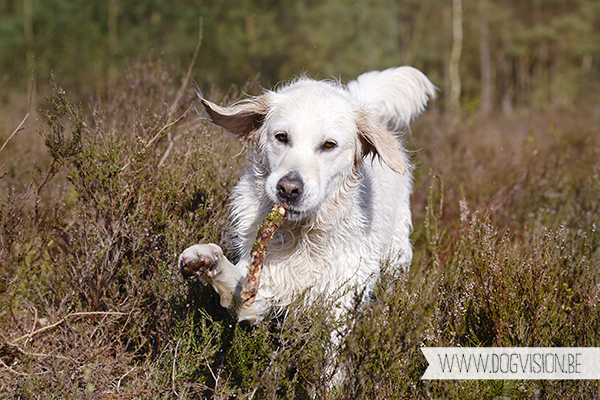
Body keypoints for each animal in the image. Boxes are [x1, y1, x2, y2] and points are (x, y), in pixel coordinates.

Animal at [178, 65, 436, 324]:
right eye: (281, 137)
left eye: (329, 145)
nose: (288, 189)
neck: (302, 234)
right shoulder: (260, 290)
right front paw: (203, 257)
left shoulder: (341, 300)